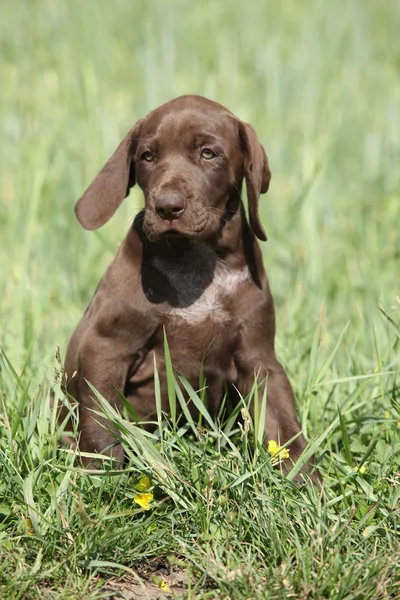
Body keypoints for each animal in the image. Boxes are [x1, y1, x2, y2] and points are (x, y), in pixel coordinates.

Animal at [64, 95, 318, 478]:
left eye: (208, 153)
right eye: (147, 156)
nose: (167, 207)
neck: (197, 261)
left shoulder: (258, 358)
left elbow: (282, 425)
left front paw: (306, 481)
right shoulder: (104, 347)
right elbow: (101, 424)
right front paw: (101, 480)